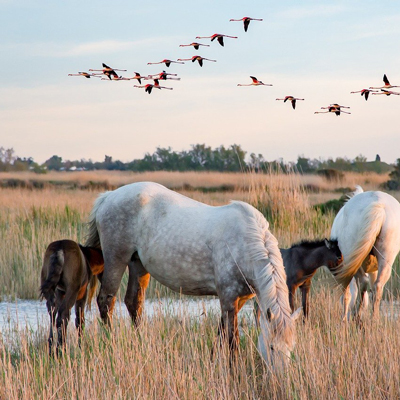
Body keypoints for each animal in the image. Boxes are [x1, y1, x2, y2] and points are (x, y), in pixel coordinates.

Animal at [86, 183, 300, 364]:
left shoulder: (239, 299)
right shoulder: (228, 297)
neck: (246, 242)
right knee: (106, 301)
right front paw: (234, 368)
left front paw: (213, 359)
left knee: (133, 302)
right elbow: (232, 338)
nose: (279, 380)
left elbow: (221, 330)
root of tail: (108, 196)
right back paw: (111, 342)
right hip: (116, 259)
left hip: (138, 264)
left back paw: (141, 343)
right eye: (271, 347)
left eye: (291, 349)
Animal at [332, 186, 400, 320]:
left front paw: (343, 319)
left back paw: (356, 315)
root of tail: (379, 205)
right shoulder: (373, 269)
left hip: (352, 259)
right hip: (386, 259)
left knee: (363, 282)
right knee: (377, 286)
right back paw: (374, 319)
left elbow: (346, 295)